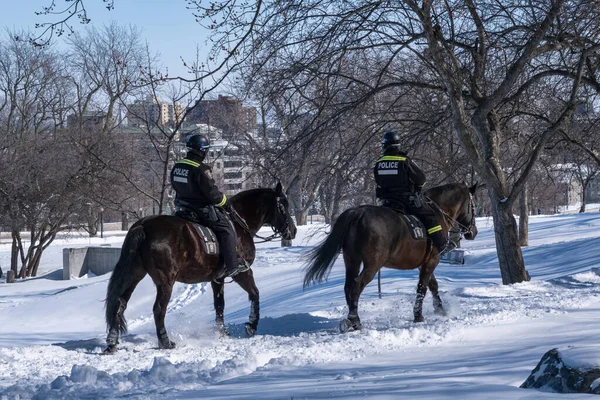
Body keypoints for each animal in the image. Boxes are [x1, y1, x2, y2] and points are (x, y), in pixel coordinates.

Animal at [106, 183, 298, 352]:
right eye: (283, 205)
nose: (293, 230)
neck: (239, 224)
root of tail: (144, 225)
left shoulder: (217, 278)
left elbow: (220, 305)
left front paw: (222, 333)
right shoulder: (242, 272)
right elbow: (255, 293)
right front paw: (251, 325)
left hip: (135, 273)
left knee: (120, 302)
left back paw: (112, 342)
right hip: (165, 281)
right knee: (159, 309)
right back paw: (165, 342)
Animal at [304, 184, 478, 332]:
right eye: (473, 206)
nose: (473, 232)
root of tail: (358, 212)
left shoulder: (424, 263)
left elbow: (432, 285)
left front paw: (440, 310)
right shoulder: (432, 260)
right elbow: (422, 287)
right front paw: (418, 316)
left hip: (352, 260)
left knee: (348, 286)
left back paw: (351, 318)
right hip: (373, 265)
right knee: (356, 285)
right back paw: (355, 320)